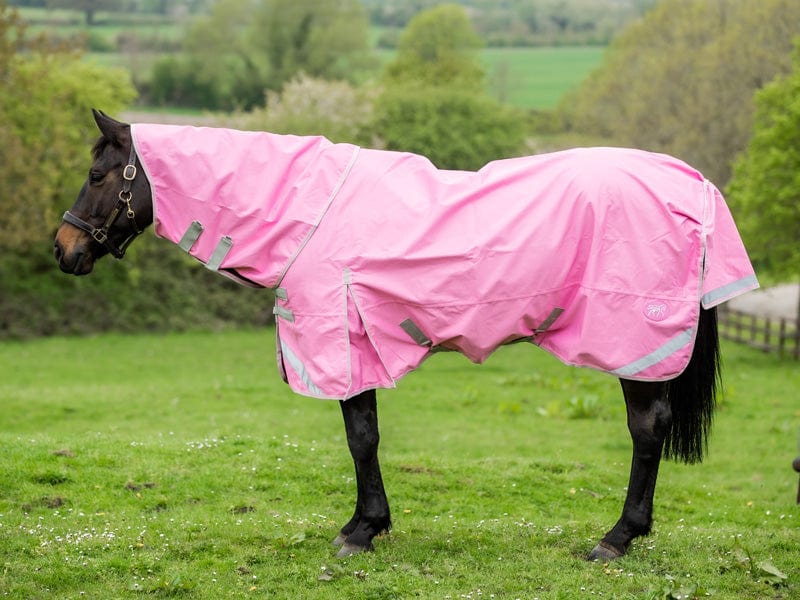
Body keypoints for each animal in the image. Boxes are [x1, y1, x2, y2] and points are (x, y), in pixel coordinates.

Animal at [54, 110, 758, 560]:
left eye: (97, 177)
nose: (63, 249)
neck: (308, 214)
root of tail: (693, 183)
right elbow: (365, 437)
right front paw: (368, 524)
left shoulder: (340, 343)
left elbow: (360, 438)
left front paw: (361, 531)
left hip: (638, 342)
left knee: (647, 430)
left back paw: (617, 539)